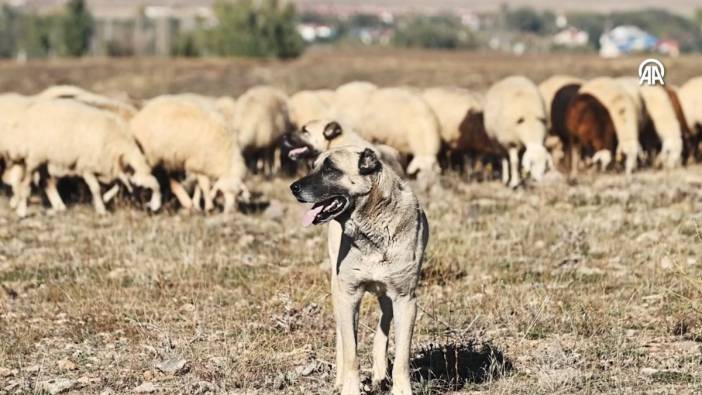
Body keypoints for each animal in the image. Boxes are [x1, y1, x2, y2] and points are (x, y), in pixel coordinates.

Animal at [9, 98, 162, 218]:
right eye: (143, 189)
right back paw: (22, 211)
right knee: (26, 183)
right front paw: (101, 209)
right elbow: (96, 188)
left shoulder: (111, 168)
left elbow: (118, 185)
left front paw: (106, 199)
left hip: (46, 159)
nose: (152, 209)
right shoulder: (86, 167)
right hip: (35, 157)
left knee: (47, 182)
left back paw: (59, 207)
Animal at [290, 146, 428, 395]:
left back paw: (380, 372)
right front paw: (350, 388)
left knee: (383, 325)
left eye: (330, 169)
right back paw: (340, 380)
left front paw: (401, 388)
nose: (293, 187)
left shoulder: (405, 299)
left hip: (387, 295)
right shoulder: (349, 296)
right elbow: (351, 353)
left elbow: (401, 356)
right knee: (343, 340)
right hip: (338, 291)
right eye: (314, 166)